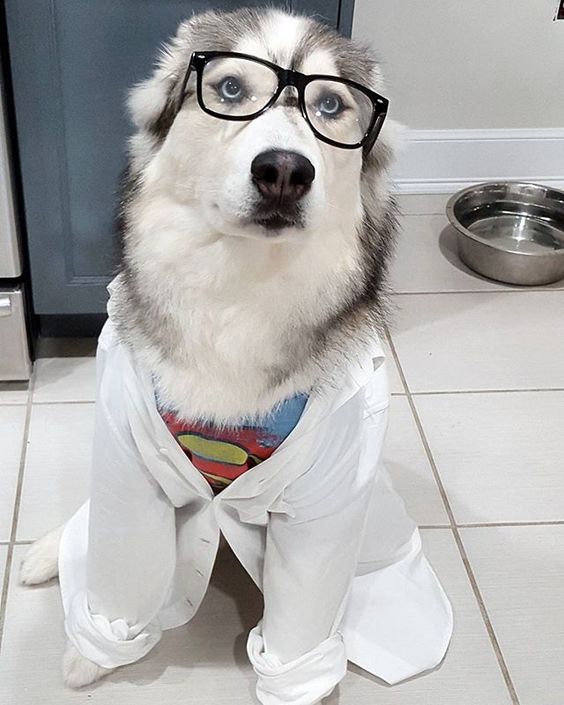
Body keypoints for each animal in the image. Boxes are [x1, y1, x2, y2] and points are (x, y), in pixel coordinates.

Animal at [19, 6, 452, 704]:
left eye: (330, 105)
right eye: (228, 88)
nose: (285, 171)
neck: (238, 296)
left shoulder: (325, 511)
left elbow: (301, 626)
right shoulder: (127, 464)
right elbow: (119, 557)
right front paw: (94, 652)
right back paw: (46, 554)